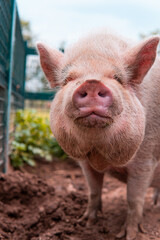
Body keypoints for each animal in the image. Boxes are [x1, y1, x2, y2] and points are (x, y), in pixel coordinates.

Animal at [37, 31, 160, 240]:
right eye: (68, 79)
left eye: (117, 78)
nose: (92, 82)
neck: (100, 156)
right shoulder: (84, 163)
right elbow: (93, 191)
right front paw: (85, 222)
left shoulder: (146, 159)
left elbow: (134, 199)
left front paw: (127, 235)